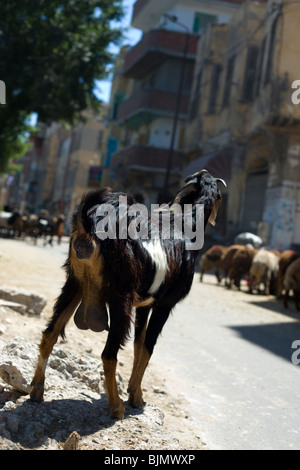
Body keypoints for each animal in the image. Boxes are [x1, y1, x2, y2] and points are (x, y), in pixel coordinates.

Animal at [30, 171, 226, 420]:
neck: (185, 228)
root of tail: (88, 224)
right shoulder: (164, 304)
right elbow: (149, 346)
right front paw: (136, 396)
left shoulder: (144, 305)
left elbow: (138, 345)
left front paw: (135, 391)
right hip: (119, 297)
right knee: (109, 354)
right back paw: (116, 407)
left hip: (73, 284)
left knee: (50, 333)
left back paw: (36, 390)